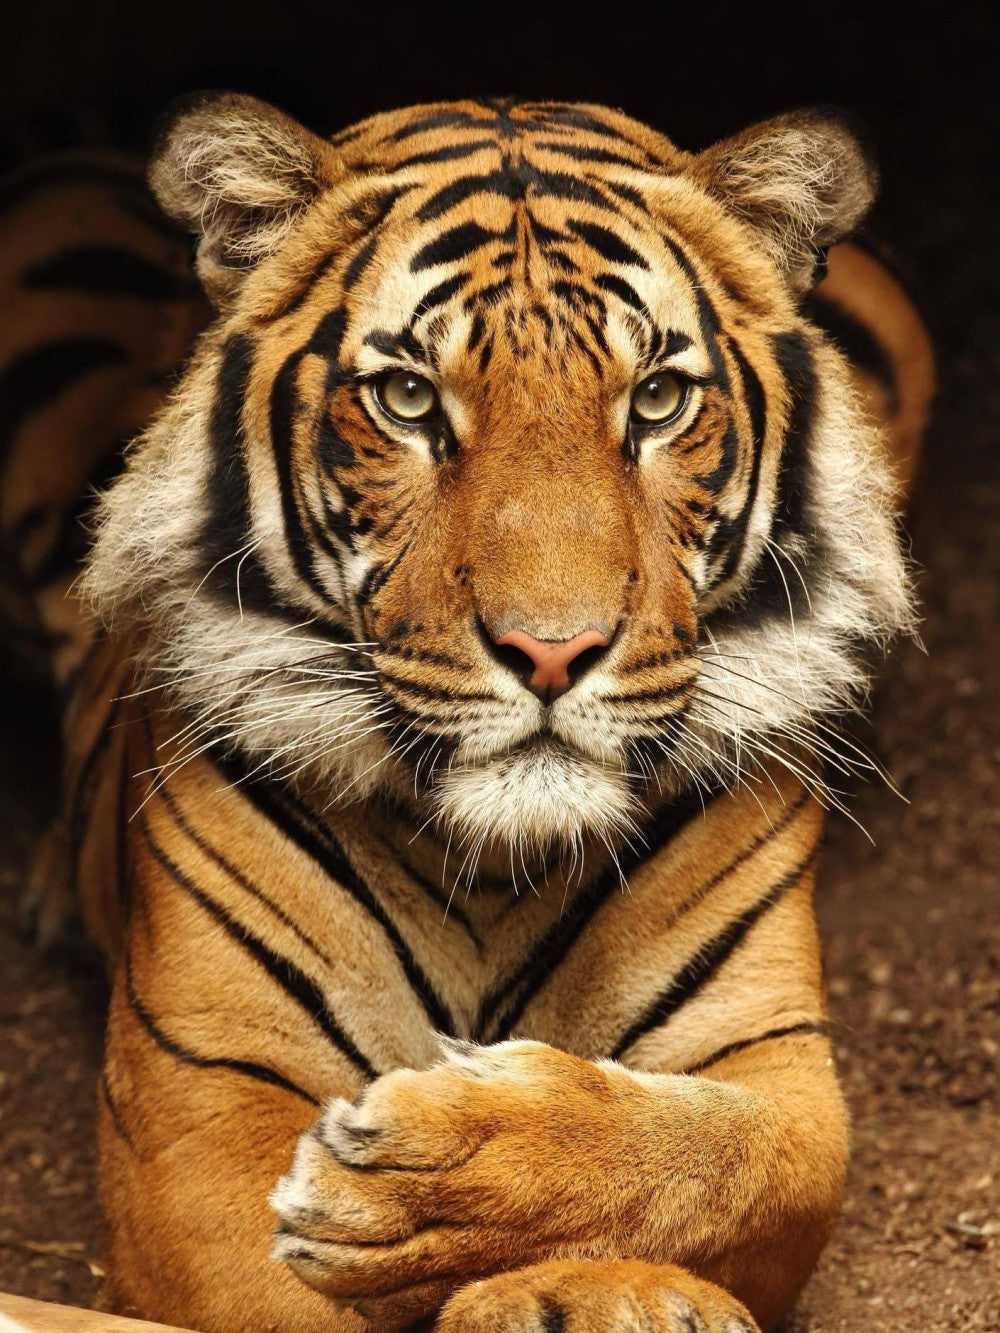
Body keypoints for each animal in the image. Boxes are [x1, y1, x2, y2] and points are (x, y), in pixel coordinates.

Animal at [0, 95, 934, 1332]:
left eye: (656, 400)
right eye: (407, 399)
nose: (552, 651)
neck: (494, 863)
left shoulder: (776, 1065)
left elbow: (725, 1162)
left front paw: (505, 1220)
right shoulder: (201, 1107)